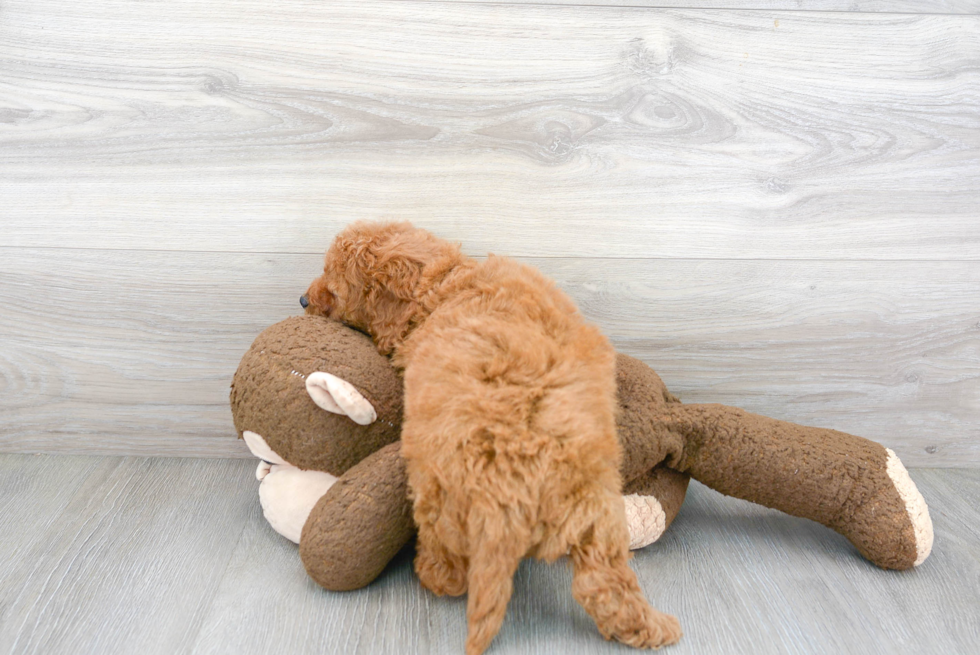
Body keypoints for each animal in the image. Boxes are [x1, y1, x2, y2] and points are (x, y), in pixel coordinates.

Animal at [304, 223, 680, 652]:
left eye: (333, 287)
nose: (302, 299)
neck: (445, 284)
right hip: (597, 513)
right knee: (604, 583)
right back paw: (652, 627)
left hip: (438, 488)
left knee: (448, 557)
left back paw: (433, 574)